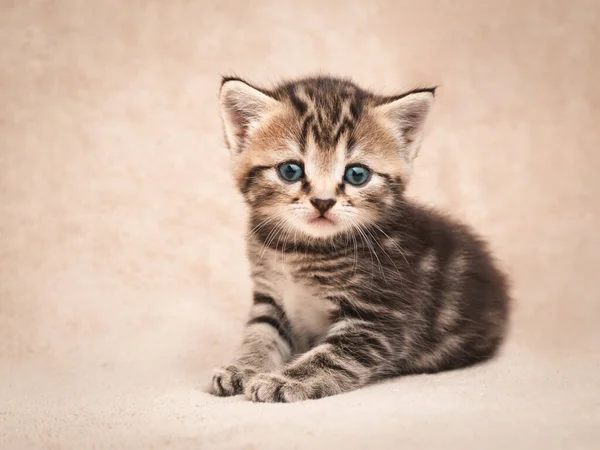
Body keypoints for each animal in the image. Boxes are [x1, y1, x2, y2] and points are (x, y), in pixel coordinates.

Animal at [209, 75, 508, 402]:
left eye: (356, 174)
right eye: (290, 170)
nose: (323, 201)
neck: (302, 250)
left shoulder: (378, 321)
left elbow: (330, 356)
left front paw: (283, 380)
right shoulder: (269, 297)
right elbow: (260, 334)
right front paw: (242, 367)